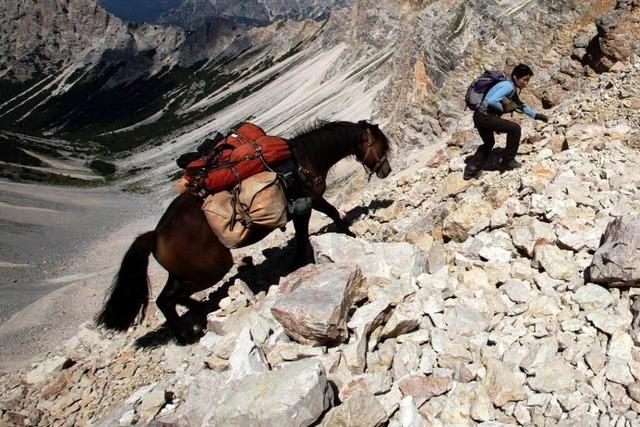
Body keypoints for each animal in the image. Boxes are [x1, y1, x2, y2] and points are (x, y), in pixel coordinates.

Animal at [97, 120, 392, 344]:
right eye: (379, 144)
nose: (386, 170)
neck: (304, 158)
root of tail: (155, 235)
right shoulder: (307, 203)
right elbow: (320, 221)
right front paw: (342, 238)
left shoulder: (306, 205)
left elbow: (316, 223)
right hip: (210, 269)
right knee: (166, 301)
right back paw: (187, 334)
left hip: (183, 273)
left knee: (170, 299)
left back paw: (197, 316)